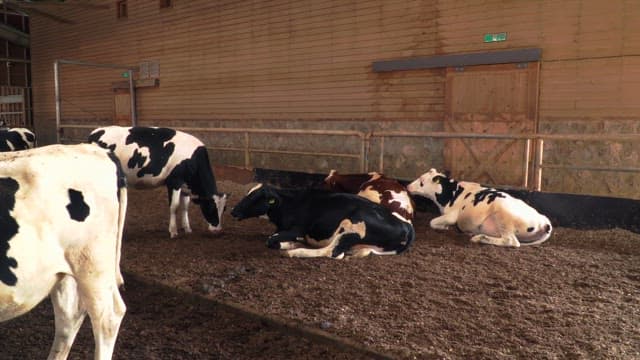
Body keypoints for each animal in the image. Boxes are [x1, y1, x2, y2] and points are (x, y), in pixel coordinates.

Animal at [89, 125, 229, 238]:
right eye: (210, 207)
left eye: (224, 209)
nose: (217, 230)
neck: (193, 160)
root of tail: (95, 132)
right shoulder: (174, 182)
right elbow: (174, 206)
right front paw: (173, 232)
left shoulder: (185, 186)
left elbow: (185, 207)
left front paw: (187, 228)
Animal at [408, 169, 552, 248]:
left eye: (422, 182)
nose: (408, 186)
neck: (452, 193)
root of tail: (544, 221)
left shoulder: (452, 216)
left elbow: (432, 222)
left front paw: (443, 227)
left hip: (503, 214)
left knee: (511, 241)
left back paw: (480, 238)